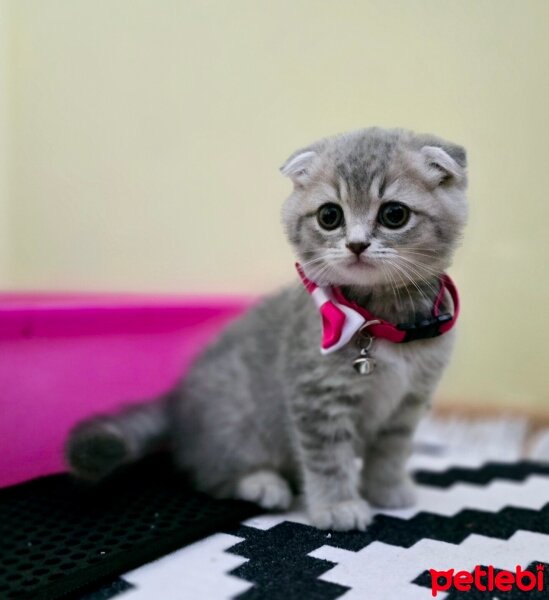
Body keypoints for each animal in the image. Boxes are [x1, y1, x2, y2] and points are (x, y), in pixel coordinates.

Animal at [65, 126, 466, 528]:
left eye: (394, 214)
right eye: (330, 215)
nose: (356, 244)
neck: (380, 320)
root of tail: (177, 400)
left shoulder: (409, 402)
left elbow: (391, 450)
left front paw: (387, 489)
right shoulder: (317, 398)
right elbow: (329, 458)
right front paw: (338, 506)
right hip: (234, 425)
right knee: (208, 475)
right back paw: (261, 483)